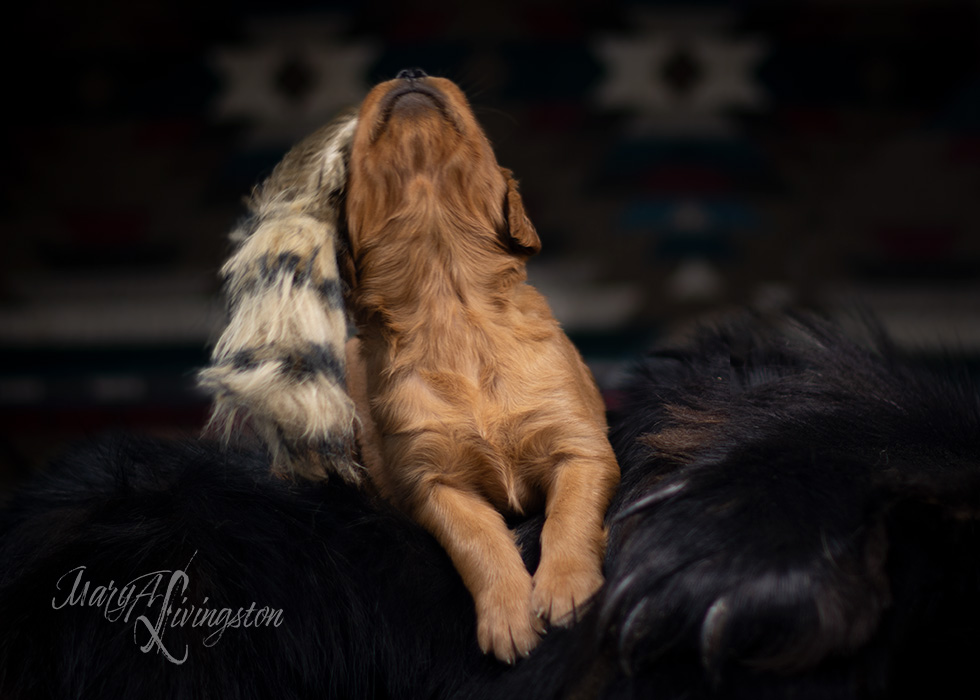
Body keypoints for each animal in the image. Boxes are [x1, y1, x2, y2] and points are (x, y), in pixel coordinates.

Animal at [346, 69, 620, 660]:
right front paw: (510, 616)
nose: (408, 72)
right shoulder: (431, 481)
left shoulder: (580, 446)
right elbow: (478, 540)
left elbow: (567, 518)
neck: (452, 307)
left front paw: (566, 589)